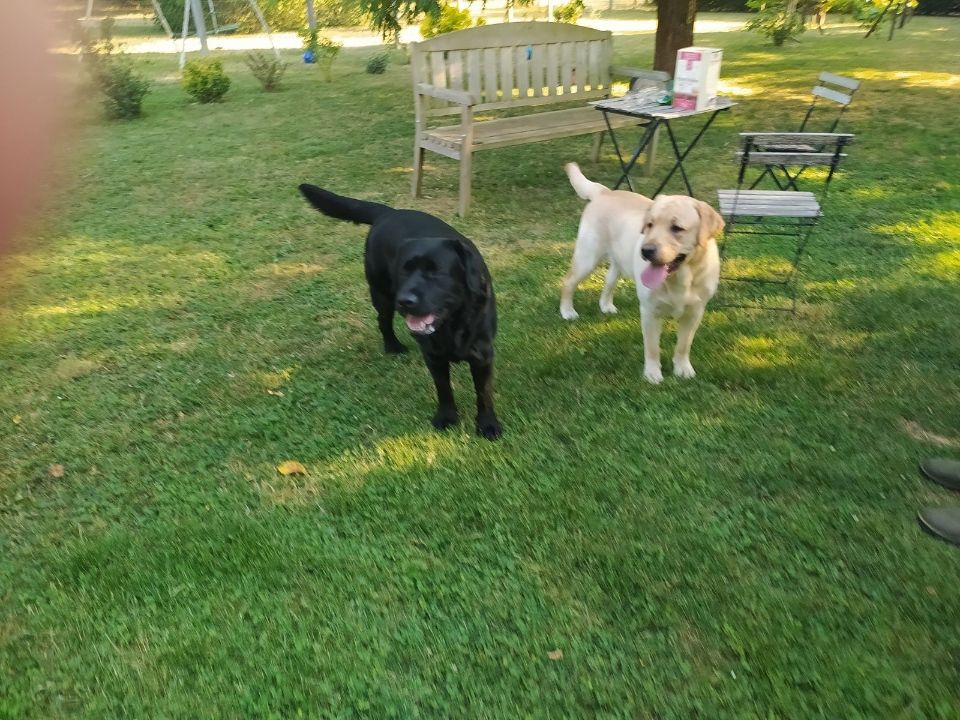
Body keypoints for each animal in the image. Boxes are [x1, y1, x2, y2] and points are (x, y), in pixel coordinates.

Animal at [298, 184, 502, 438]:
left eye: (435, 272)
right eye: (404, 270)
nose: (405, 300)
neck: (453, 323)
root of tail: (389, 212)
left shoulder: (482, 355)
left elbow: (483, 394)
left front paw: (487, 424)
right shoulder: (433, 356)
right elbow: (443, 388)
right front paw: (446, 417)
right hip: (381, 295)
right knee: (383, 322)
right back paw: (393, 346)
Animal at [560, 162, 724, 386]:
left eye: (677, 228)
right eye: (650, 225)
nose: (646, 250)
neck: (681, 278)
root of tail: (605, 191)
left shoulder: (695, 312)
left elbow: (683, 345)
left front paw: (683, 369)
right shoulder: (649, 311)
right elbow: (652, 348)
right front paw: (653, 374)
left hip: (618, 261)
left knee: (608, 281)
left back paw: (606, 305)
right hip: (588, 257)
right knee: (568, 282)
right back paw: (567, 311)